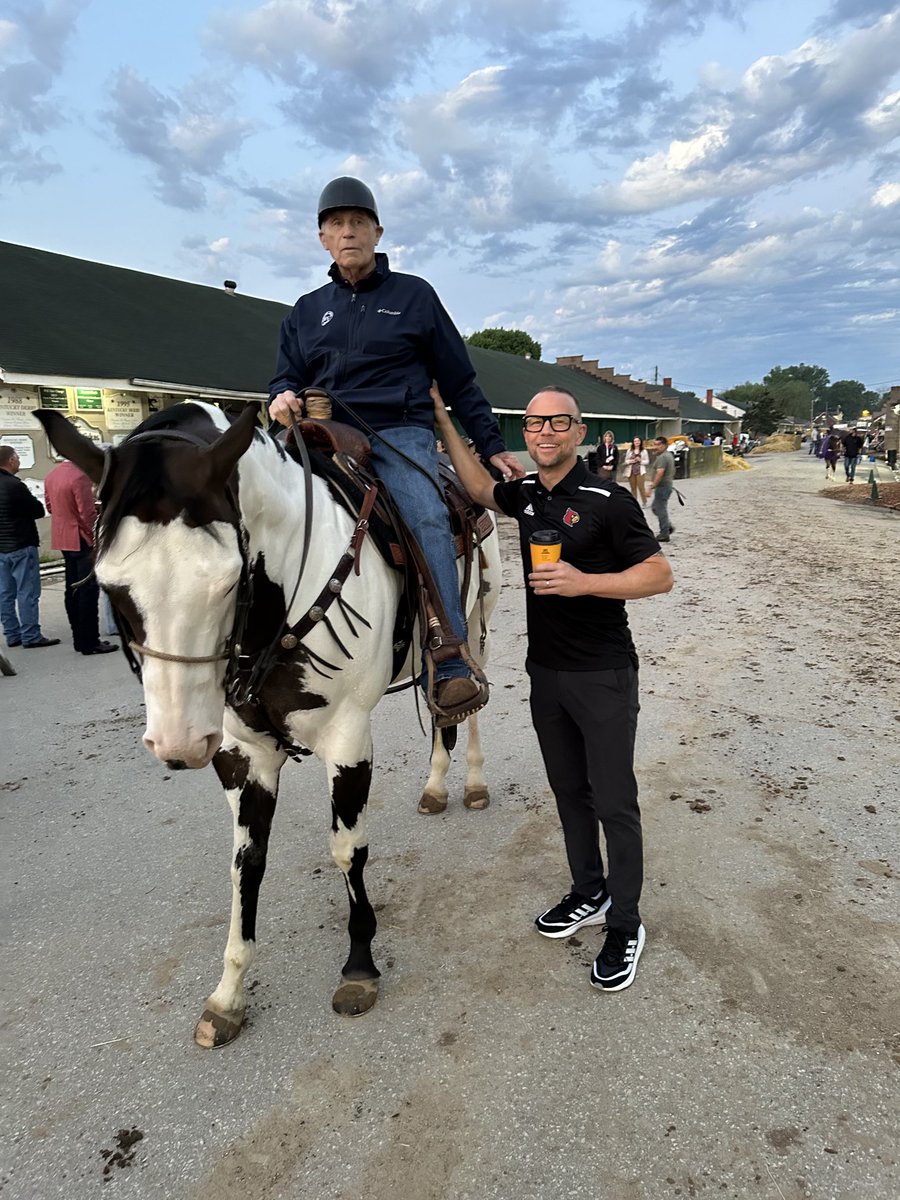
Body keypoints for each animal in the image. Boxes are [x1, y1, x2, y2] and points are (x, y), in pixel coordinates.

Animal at [35, 398, 501, 1046]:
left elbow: (347, 850)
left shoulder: (348, 740)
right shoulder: (241, 754)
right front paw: (229, 993)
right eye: (110, 585)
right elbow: (245, 864)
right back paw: (435, 785)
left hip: (477, 625)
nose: (179, 743)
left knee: (465, 705)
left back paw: (473, 781)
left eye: (228, 580)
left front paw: (359, 966)